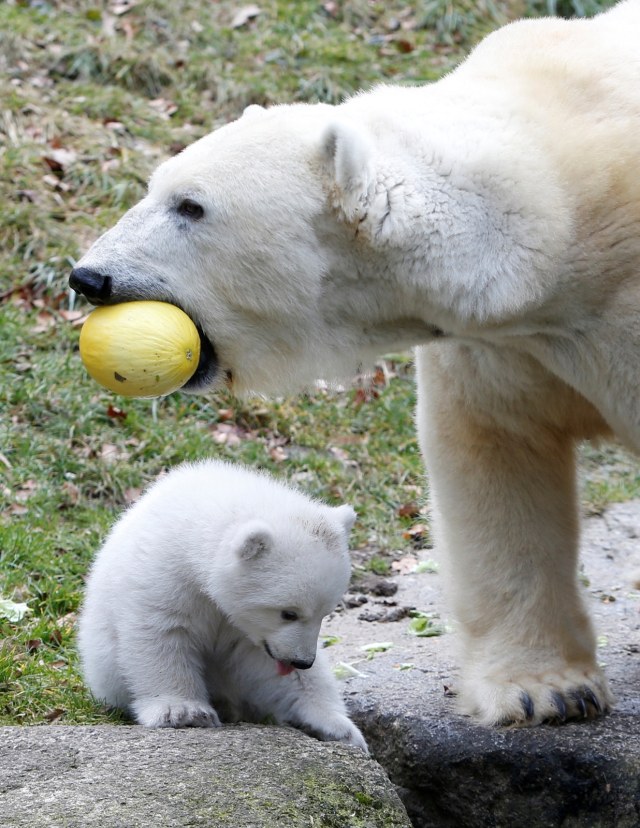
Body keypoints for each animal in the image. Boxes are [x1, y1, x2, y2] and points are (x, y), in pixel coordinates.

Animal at [67, 0, 636, 724]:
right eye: (155, 187)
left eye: (191, 205)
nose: (89, 277)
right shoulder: (505, 349)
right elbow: (499, 458)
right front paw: (544, 690)